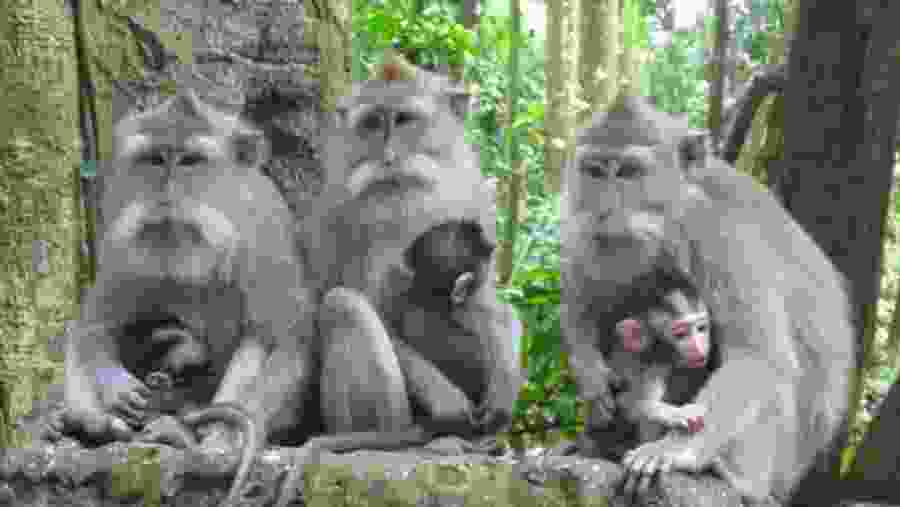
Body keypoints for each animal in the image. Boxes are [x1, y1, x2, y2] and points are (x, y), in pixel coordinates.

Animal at [59, 89, 317, 507]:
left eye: (190, 160)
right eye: (154, 159)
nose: (165, 189)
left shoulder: (265, 241)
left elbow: (283, 343)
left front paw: (219, 438)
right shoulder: (120, 240)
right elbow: (94, 325)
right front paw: (117, 389)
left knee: (256, 347)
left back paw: (186, 434)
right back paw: (96, 425)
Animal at [560, 94, 854, 504]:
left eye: (629, 172)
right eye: (595, 171)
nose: (603, 210)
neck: (670, 221)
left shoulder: (721, 236)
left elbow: (758, 357)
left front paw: (672, 448)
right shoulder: (588, 234)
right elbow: (584, 303)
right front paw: (590, 373)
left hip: (777, 466)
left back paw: (735, 479)